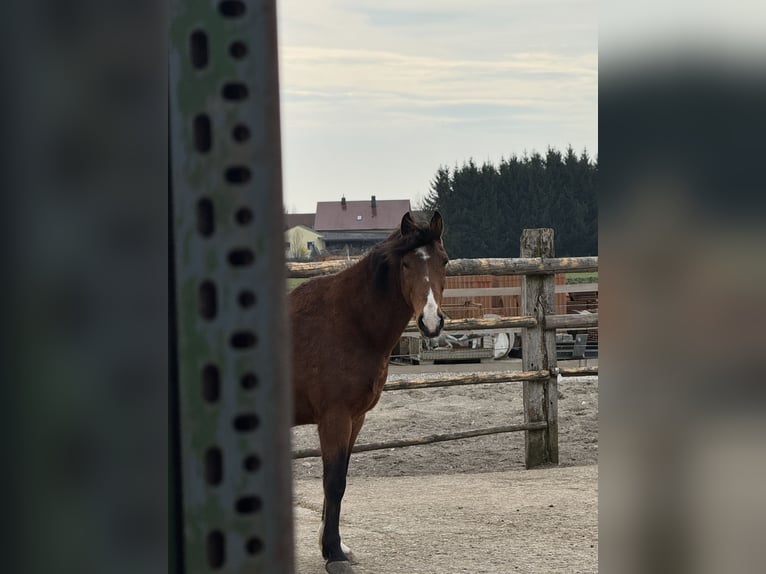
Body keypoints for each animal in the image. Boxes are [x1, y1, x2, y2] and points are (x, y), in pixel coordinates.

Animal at [290, 211, 448, 573]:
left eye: (444, 261)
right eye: (406, 264)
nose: (430, 321)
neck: (349, 321)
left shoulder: (355, 418)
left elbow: (339, 481)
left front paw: (334, 546)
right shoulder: (334, 419)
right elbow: (334, 482)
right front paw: (333, 553)